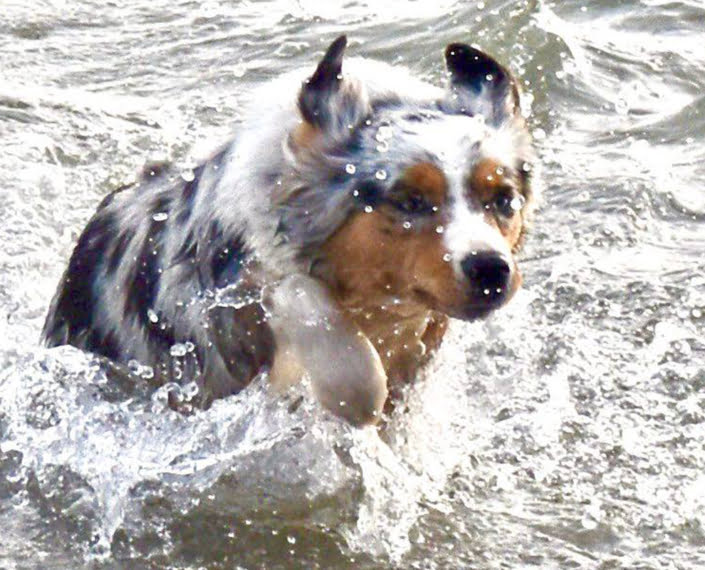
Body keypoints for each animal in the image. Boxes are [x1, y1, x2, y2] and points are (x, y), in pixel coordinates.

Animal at [42, 35, 532, 424]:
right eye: (410, 201)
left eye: (503, 200)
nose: (491, 269)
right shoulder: (244, 288)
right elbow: (311, 314)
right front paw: (352, 390)